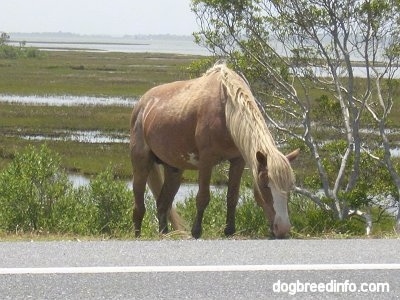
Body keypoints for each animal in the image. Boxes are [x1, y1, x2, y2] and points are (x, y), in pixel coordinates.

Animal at [130, 63, 298, 239]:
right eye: (265, 185)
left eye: (290, 186)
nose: (283, 228)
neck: (226, 110)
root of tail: (142, 103)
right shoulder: (206, 160)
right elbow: (203, 197)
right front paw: (196, 232)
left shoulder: (238, 161)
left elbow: (232, 197)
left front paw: (229, 231)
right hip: (141, 165)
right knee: (139, 206)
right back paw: (138, 234)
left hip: (174, 169)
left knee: (163, 203)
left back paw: (164, 234)